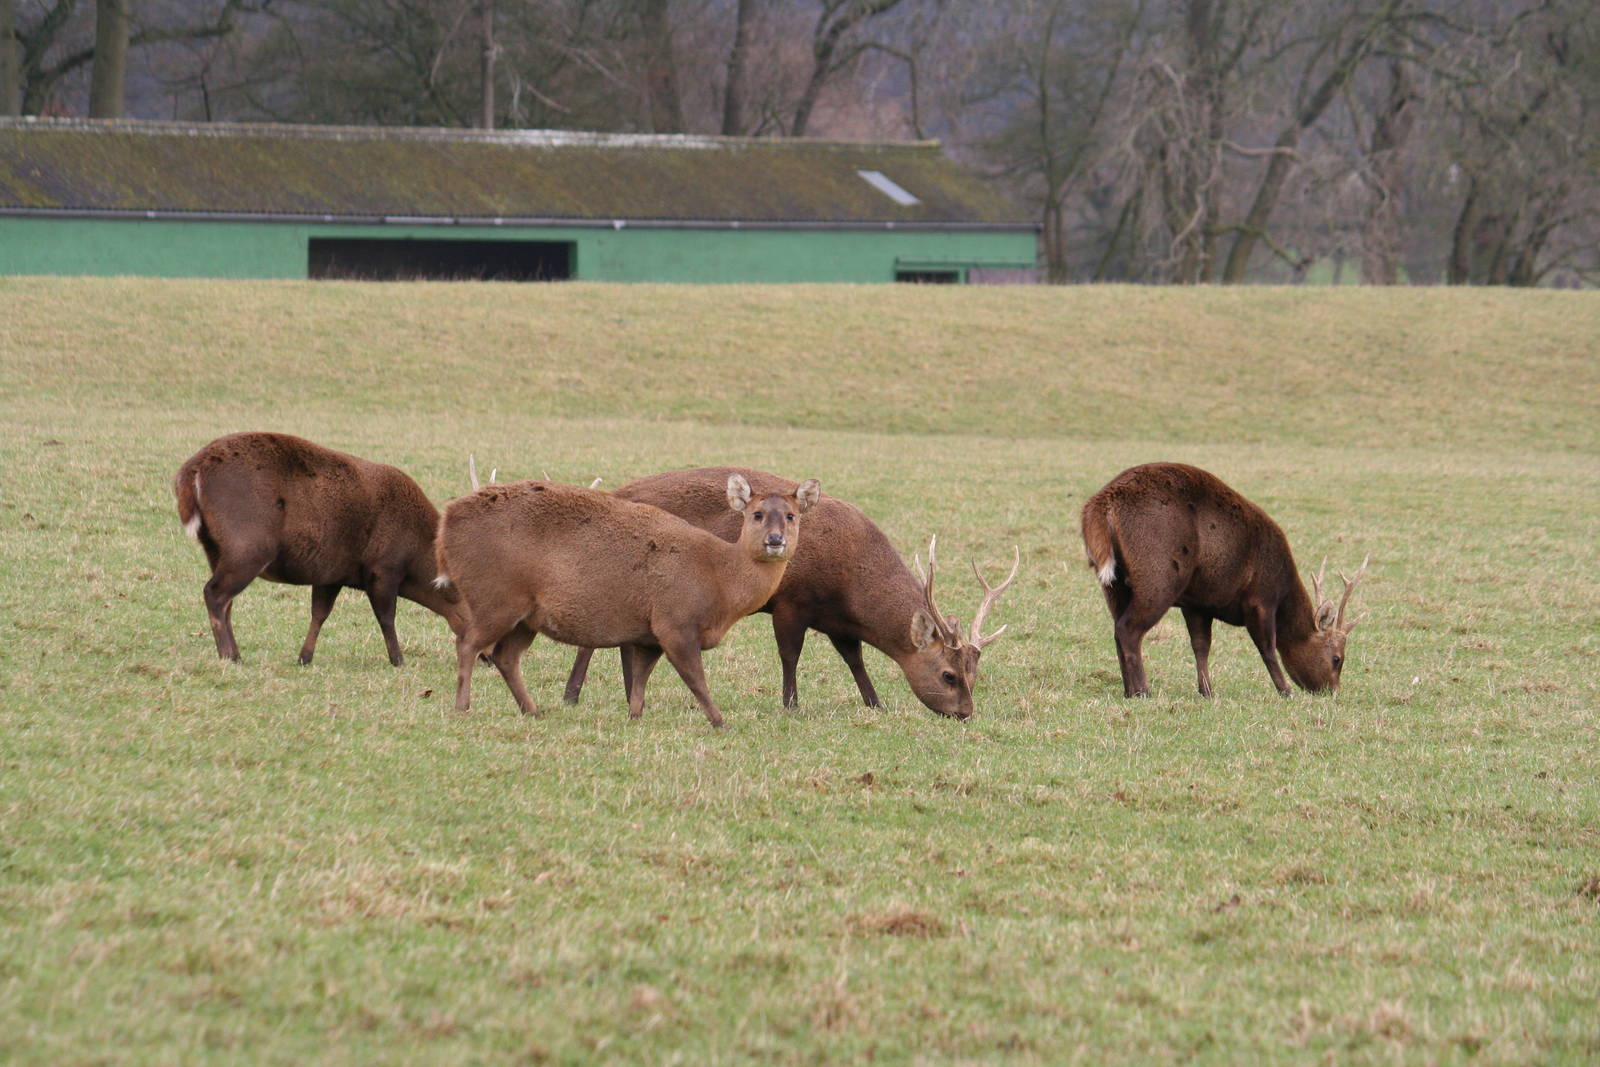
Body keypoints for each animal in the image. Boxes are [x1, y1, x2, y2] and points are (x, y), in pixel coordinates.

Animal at [173, 431, 464, 666]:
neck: (416, 554)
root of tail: (192, 471)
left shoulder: (332, 573)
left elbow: (319, 613)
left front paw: (304, 657)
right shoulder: (383, 567)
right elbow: (386, 617)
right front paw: (398, 659)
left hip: (215, 547)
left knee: (227, 600)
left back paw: (234, 652)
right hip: (248, 545)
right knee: (215, 593)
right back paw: (229, 656)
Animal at [434, 473, 822, 728]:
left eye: (791, 515)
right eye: (757, 514)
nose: (775, 540)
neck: (720, 583)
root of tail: (445, 526)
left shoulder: (649, 634)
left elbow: (640, 679)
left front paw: (634, 715)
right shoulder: (674, 620)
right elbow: (696, 678)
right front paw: (719, 720)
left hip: (526, 613)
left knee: (505, 656)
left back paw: (532, 710)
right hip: (496, 595)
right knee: (468, 643)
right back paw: (462, 707)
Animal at [558, 467, 1018, 720]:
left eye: (975, 674)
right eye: (948, 675)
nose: (965, 713)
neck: (849, 584)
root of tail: (612, 492)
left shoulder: (837, 621)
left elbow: (854, 659)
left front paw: (875, 703)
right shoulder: (791, 603)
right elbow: (790, 654)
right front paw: (791, 704)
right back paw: (572, 694)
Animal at [1080, 462, 1367, 698]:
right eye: (1337, 658)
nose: (1332, 691)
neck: (1284, 588)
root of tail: (1102, 503)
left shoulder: (1198, 602)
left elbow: (1201, 645)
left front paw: (1207, 691)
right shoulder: (1260, 598)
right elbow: (1268, 647)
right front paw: (1285, 691)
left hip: (1114, 584)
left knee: (1117, 628)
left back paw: (1128, 690)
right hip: (1158, 575)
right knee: (1128, 629)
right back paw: (1142, 691)